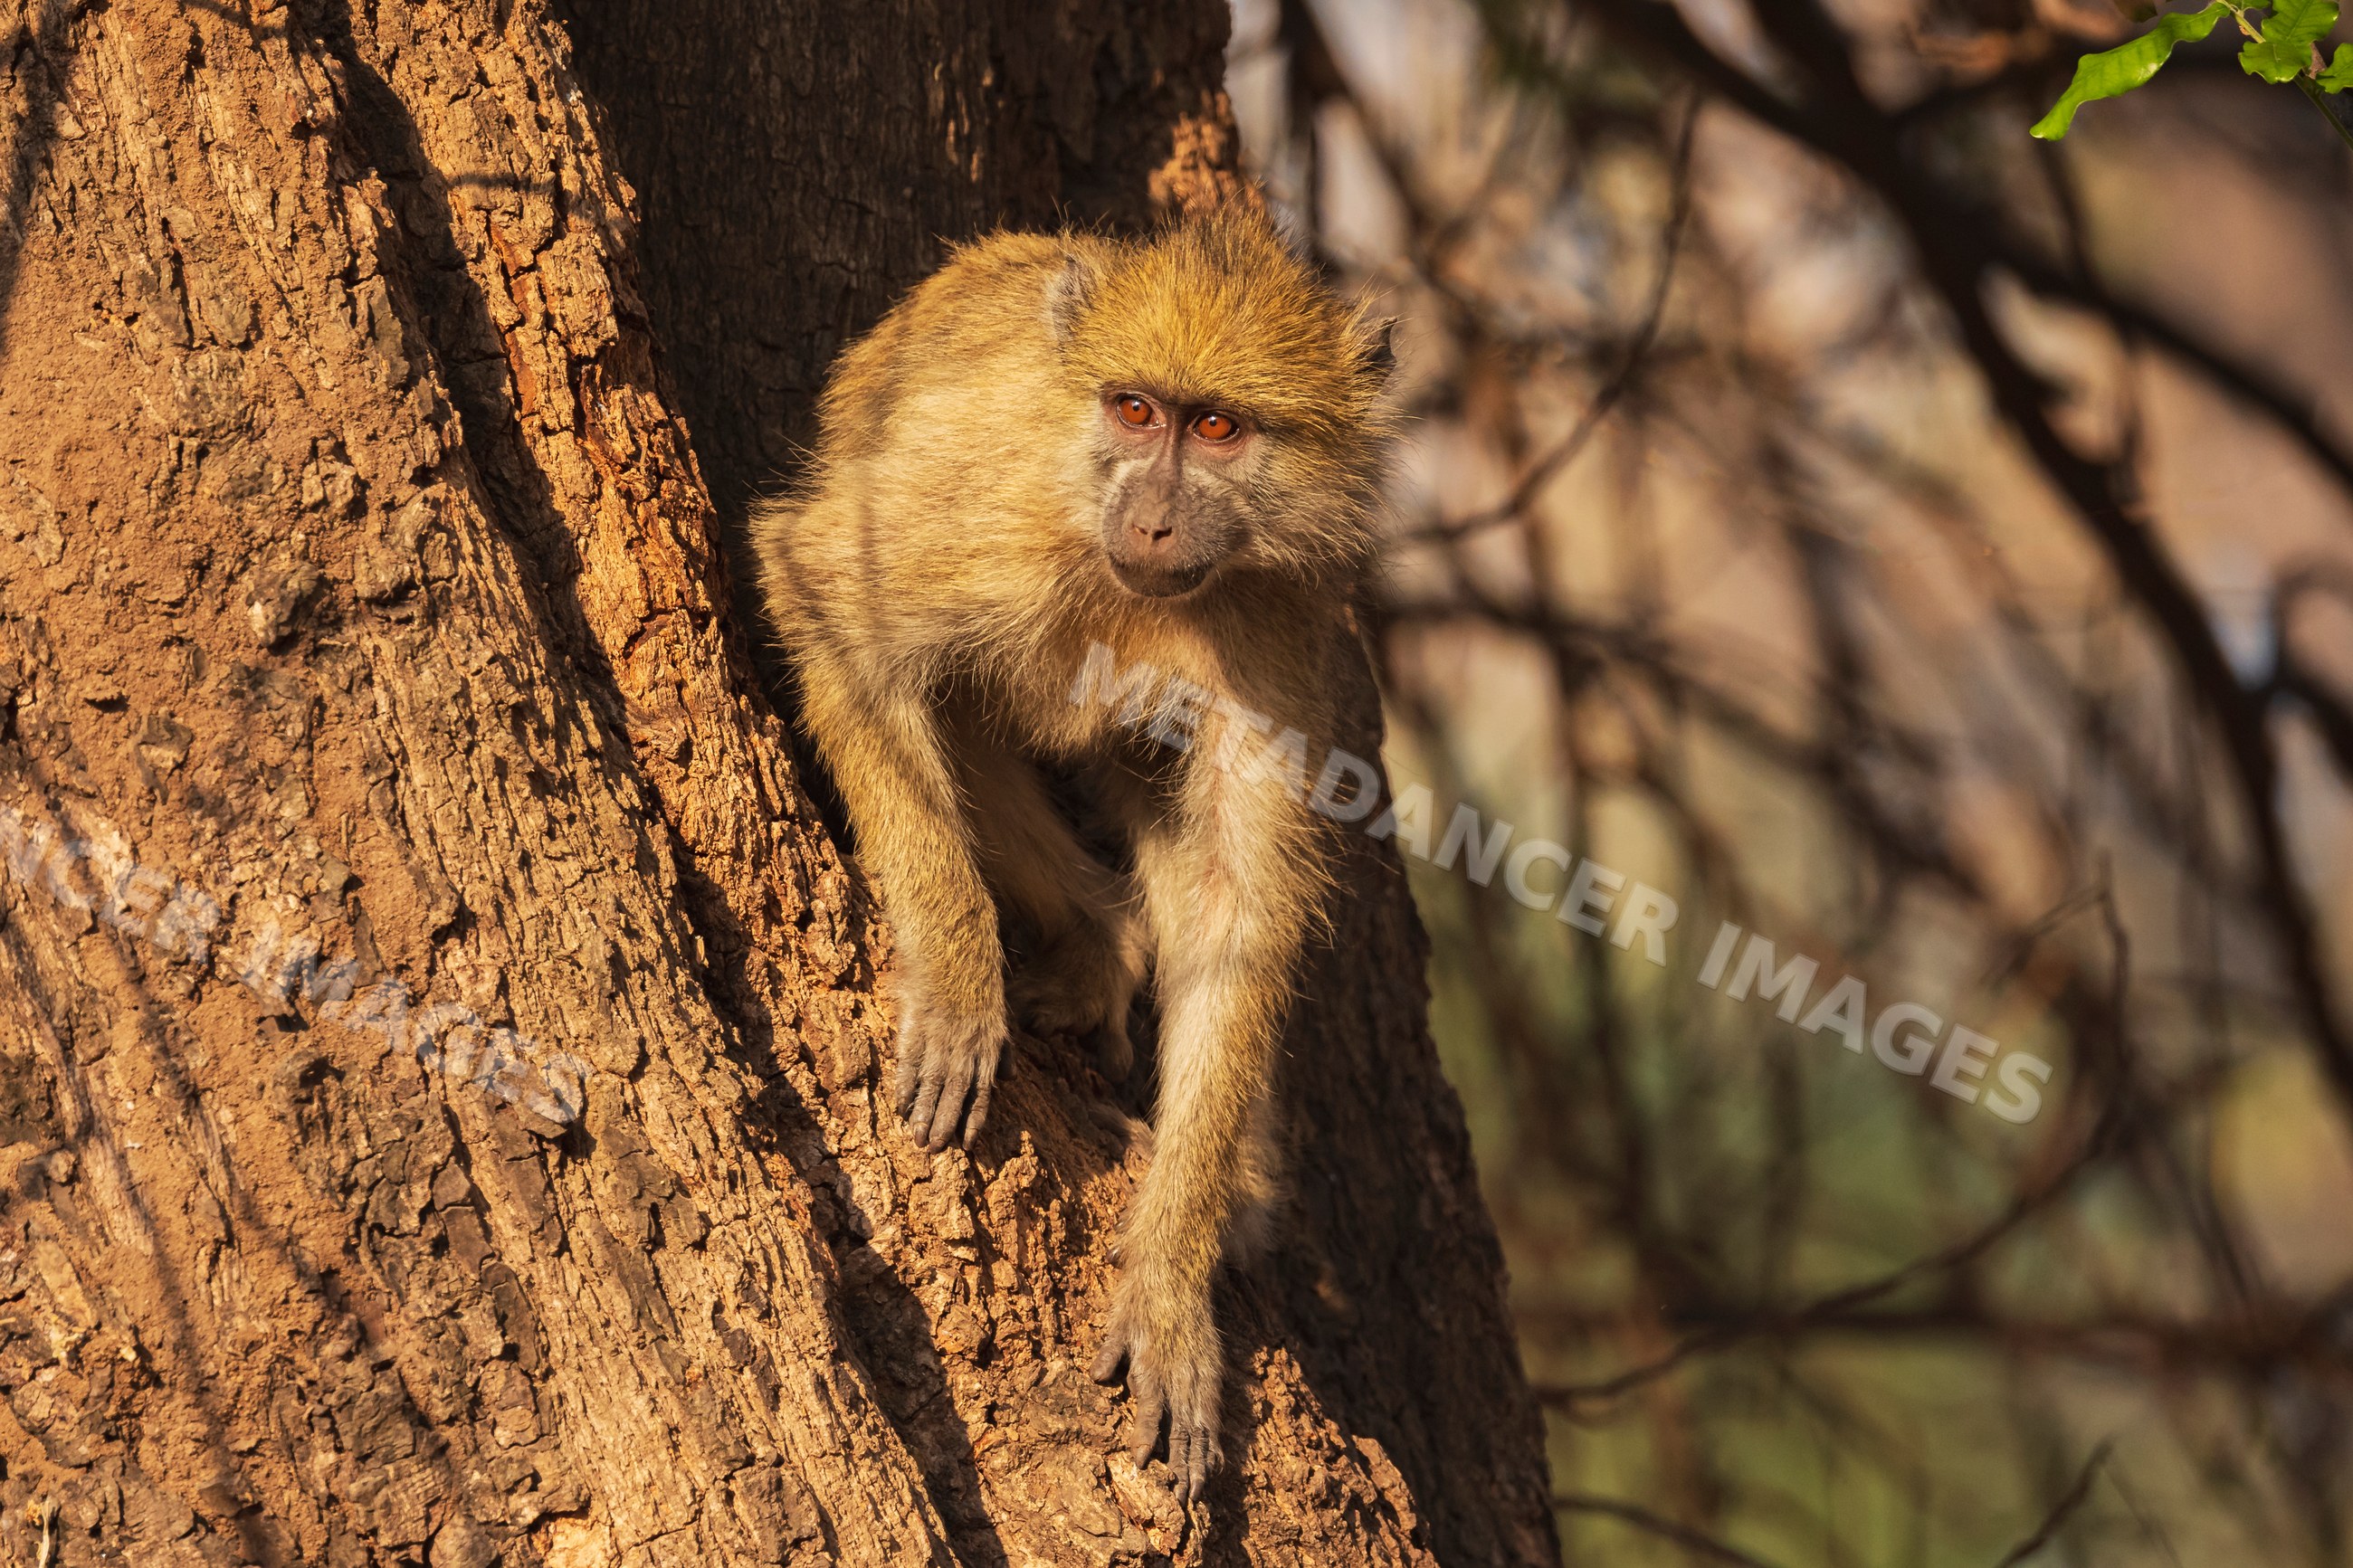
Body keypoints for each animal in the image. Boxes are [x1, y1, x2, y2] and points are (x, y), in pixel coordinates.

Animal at [751, 202, 1394, 1497]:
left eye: (1216, 426)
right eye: (1134, 410)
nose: (1149, 519)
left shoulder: (1269, 626)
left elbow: (1235, 913)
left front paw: (1170, 1280)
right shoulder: (978, 525)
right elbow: (826, 593)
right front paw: (957, 980)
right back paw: (1091, 943)